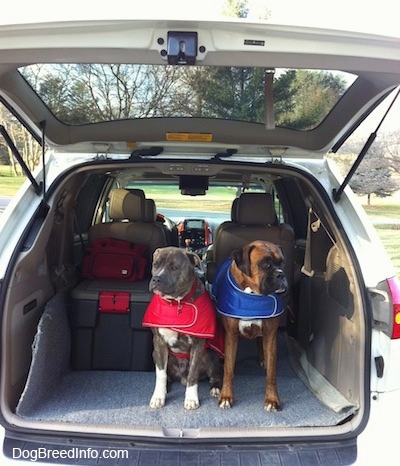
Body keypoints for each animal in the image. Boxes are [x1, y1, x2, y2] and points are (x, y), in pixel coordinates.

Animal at [212, 240, 288, 412]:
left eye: (282, 263)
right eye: (266, 264)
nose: (280, 274)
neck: (253, 293)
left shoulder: (270, 336)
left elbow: (271, 374)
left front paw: (272, 399)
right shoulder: (231, 336)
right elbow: (228, 370)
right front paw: (226, 397)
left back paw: (262, 358)